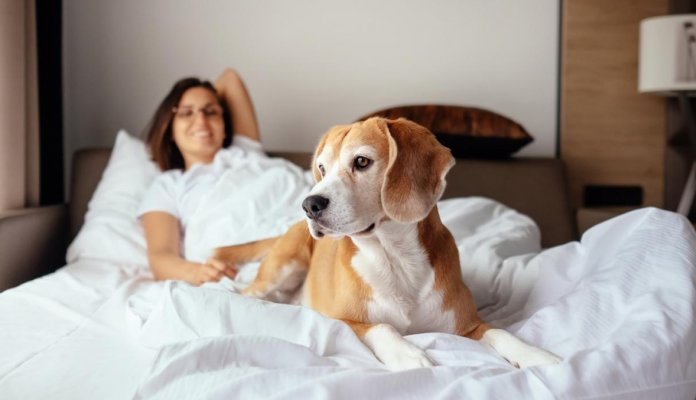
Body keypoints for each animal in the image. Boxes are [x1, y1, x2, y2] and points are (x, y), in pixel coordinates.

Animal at [215, 117, 564, 370]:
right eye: (322, 168)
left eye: (361, 162)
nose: (309, 204)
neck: (394, 257)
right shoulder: (344, 320)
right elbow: (382, 327)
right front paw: (408, 355)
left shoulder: (468, 325)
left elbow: (502, 332)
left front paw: (536, 355)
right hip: (282, 268)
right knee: (246, 293)